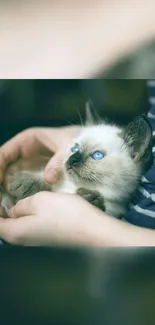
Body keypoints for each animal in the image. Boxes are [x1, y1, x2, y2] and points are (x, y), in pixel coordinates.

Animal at [0, 104, 153, 218]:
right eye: (75, 149)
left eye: (97, 155)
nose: (72, 159)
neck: (71, 189)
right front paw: (24, 183)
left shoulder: (115, 211)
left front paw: (91, 200)